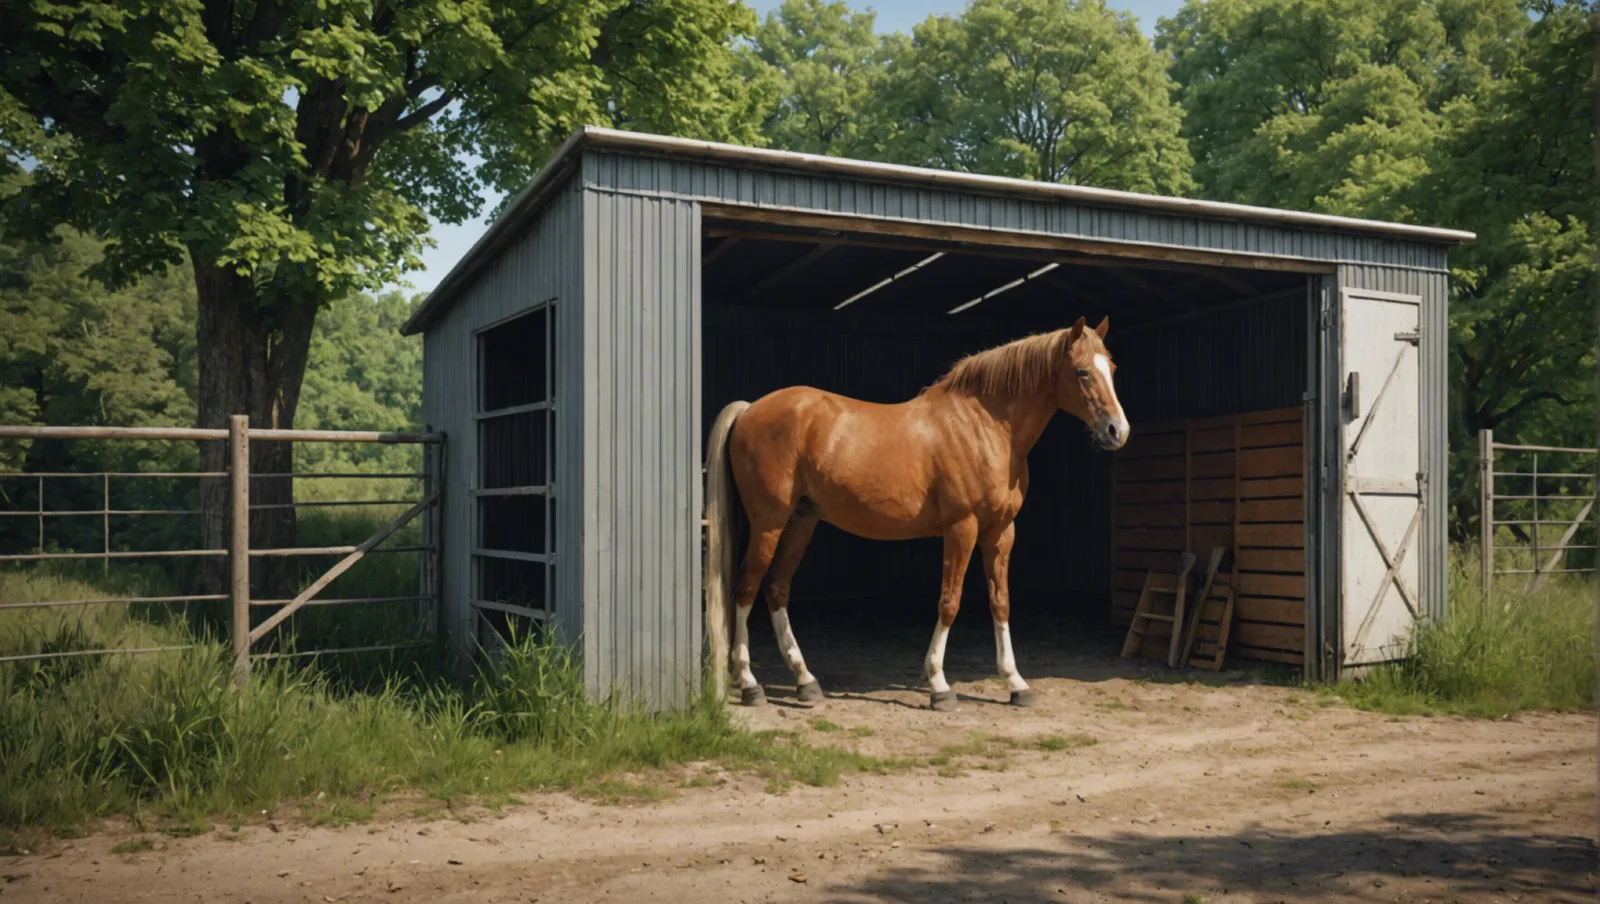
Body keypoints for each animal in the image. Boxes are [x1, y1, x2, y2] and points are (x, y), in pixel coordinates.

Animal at [703, 315, 1130, 712]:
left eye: (1112, 368)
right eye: (1082, 371)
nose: (1118, 431)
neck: (986, 426)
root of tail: (750, 410)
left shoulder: (1000, 532)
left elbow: (1001, 602)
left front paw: (1016, 684)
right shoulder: (962, 528)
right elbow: (949, 602)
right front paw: (940, 686)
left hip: (801, 521)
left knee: (776, 588)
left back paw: (805, 681)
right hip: (769, 523)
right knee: (747, 586)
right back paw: (751, 683)